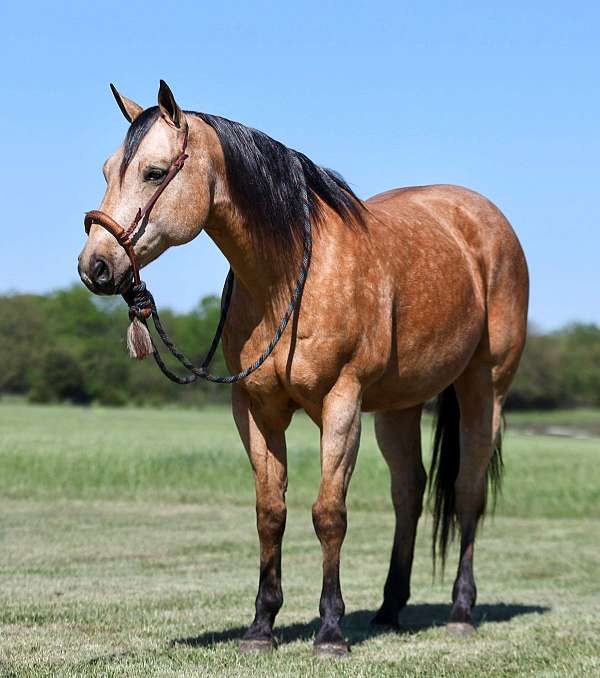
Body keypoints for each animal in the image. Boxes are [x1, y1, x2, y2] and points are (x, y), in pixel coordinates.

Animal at [77, 81, 528, 660]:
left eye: (155, 172)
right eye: (108, 169)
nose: (95, 266)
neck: (289, 275)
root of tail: (483, 219)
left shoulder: (342, 403)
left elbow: (328, 514)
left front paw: (330, 631)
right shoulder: (256, 409)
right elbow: (271, 512)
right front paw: (260, 627)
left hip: (484, 387)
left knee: (468, 489)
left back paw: (460, 612)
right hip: (399, 406)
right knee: (409, 492)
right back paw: (389, 609)